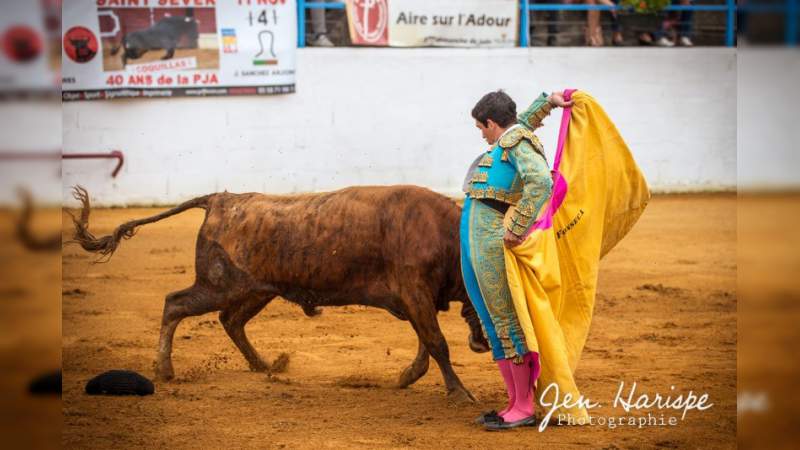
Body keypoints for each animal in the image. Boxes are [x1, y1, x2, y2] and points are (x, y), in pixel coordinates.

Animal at [69, 185, 490, 402]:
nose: (484, 343)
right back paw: (164, 369)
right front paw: (459, 394)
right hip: (219, 285)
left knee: (230, 320)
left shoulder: (417, 298)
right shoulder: (414, 292)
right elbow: (436, 342)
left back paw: (266, 365)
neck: (447, 236)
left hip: (255, 290)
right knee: (175, 304)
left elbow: (426, 342)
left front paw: (406, 376)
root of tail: (221, 199)